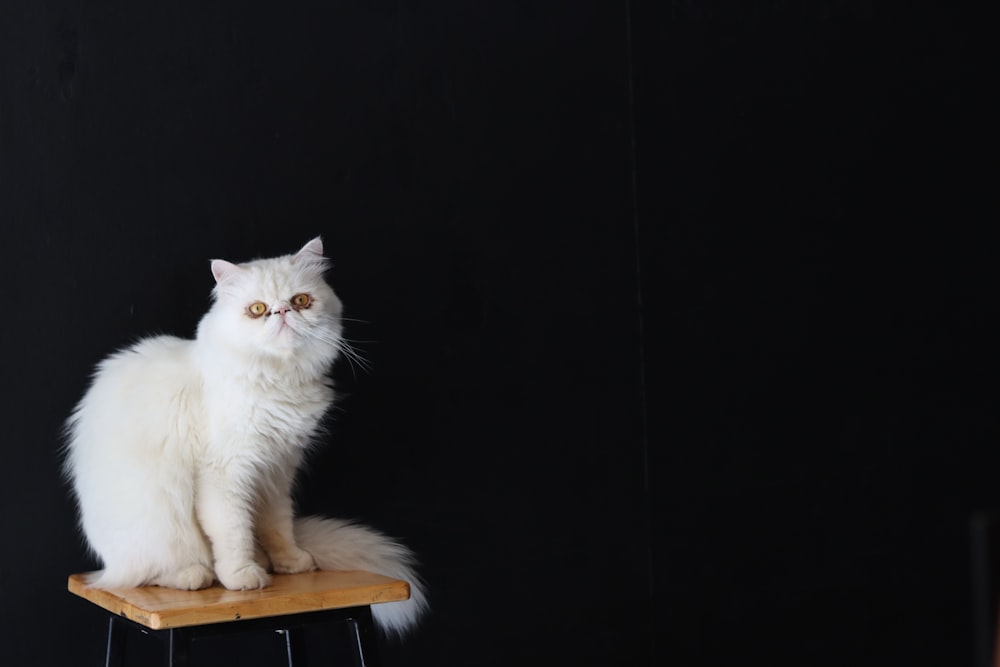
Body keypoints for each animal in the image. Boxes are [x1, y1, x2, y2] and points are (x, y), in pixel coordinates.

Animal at [59, 237, 426, 636]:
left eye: (301, 300)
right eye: (258, 309)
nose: (281, 311)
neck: (279, 380)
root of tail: (106, 564)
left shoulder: (276, 471)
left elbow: (277, 525)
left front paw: (289, 563)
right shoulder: (226, 472)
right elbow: (233, 531)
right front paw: (242, 577)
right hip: (157, 523)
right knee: (145, 574)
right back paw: (196, 575)